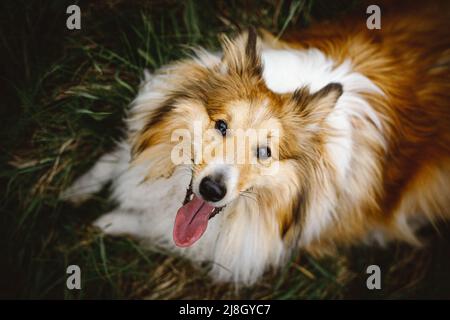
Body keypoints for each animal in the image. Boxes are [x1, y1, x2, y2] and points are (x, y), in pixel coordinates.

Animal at [63, 1, 450, 284]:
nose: (212, 190)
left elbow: (156, 227)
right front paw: (76, 190)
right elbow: (117, 159)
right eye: (221, 125)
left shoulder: (244, 243)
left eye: (265, 152)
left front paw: (108, 220)